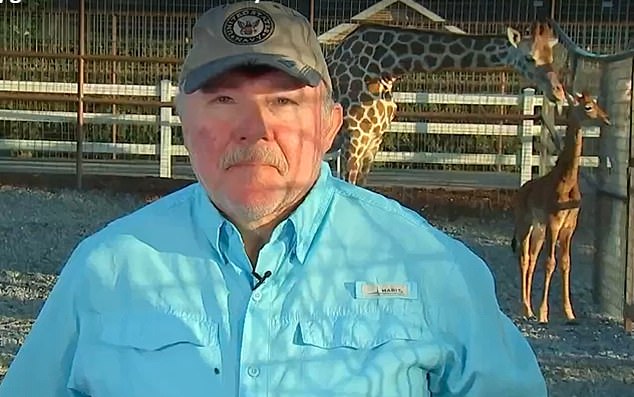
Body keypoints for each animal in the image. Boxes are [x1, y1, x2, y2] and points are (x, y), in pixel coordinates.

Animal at [324, 20, 564, 184]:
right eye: (529, 58)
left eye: (552, 57)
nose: (558, 93)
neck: (384, 68)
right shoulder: (354, 140)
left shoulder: (373, 140)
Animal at [508, 91, 608, 324]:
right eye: (588, 107)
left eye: (596, 103)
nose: (606, 119)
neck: (568, 181)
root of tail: (521, 191)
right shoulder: (554, 223)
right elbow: (550, 263)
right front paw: (544, 314)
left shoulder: (570, 227)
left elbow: (565, 263)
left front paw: (570, 313)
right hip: (525, 223)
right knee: (524, 258)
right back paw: (526, 308)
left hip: (538, 229)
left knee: (532, 259)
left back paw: (529, 309)